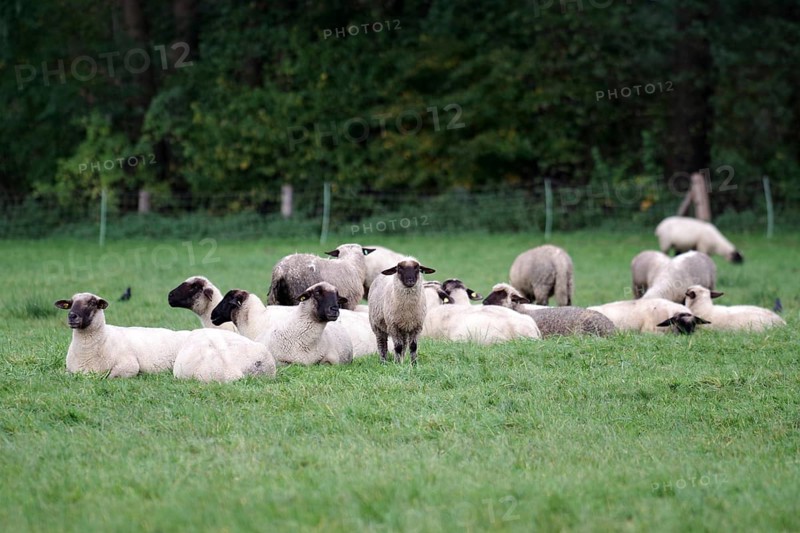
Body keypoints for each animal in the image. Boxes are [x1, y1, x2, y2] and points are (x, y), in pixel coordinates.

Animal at [54, 292, 191, 378]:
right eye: (70, 304)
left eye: (92, 303)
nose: (72, 316)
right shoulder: (69, 370)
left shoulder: (129, 365)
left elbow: (109, 376)